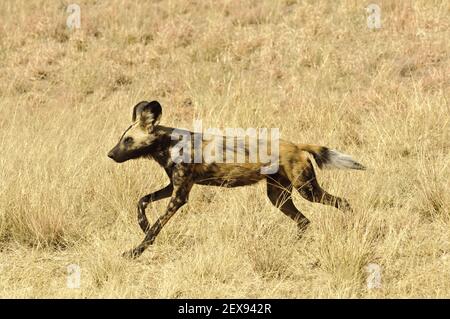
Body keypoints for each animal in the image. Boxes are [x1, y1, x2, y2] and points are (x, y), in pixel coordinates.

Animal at [109, 101, 366, 258]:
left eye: (128, 140)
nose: (110, 154)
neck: (169, 144)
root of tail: (296, 145)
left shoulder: (179, 196)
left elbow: (156, 227)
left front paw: (136, 251)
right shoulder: (174, 186)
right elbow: (142, 201)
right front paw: (142, 224)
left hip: (307, 191)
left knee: (342, 202)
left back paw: (353, 225)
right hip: (278, 197)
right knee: (304, 220)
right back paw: (294, 244)